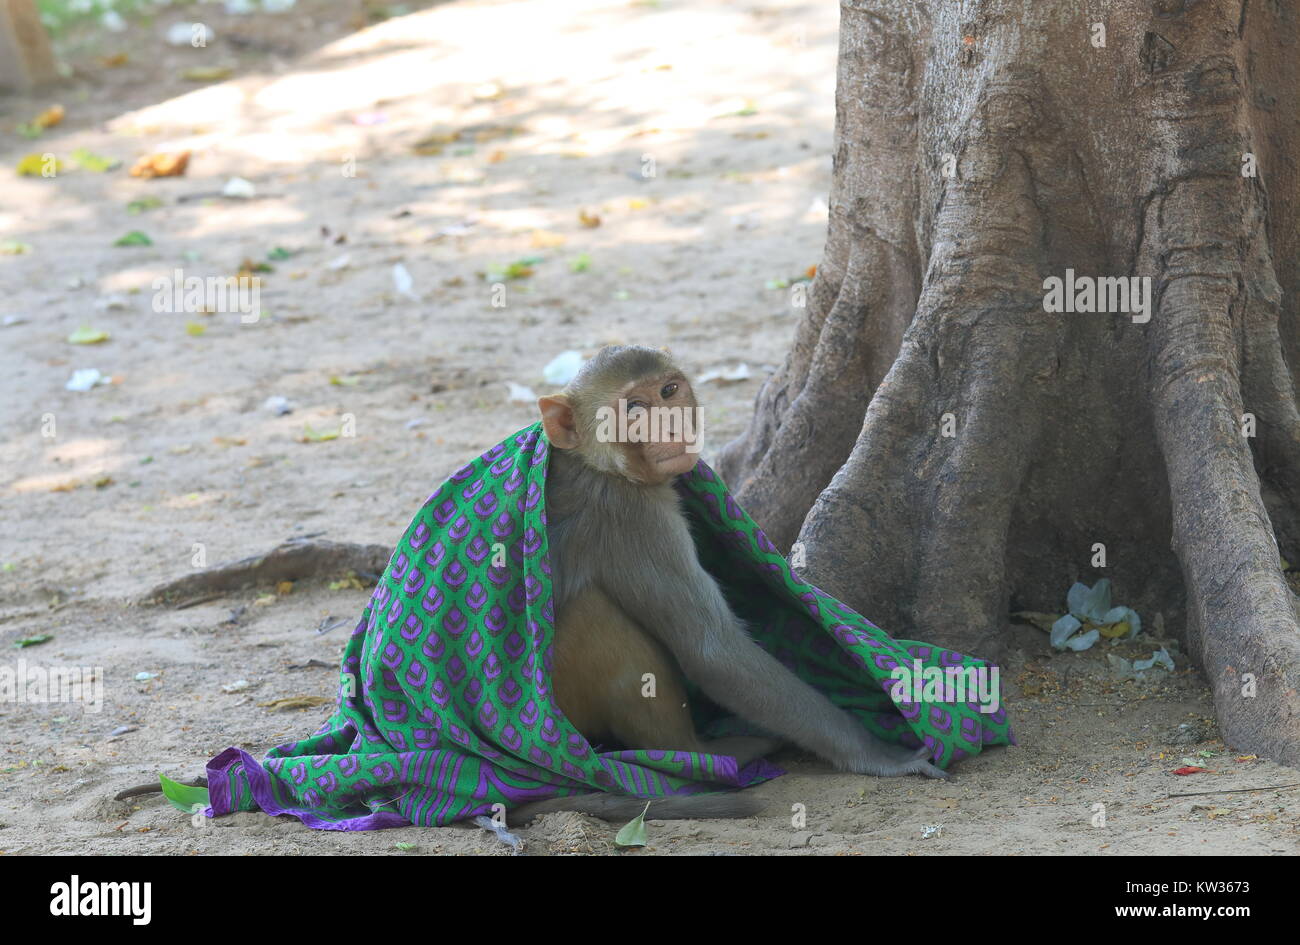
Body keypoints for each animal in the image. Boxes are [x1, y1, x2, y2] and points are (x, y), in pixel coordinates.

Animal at [520, 343, 946, 821]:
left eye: (669, 391)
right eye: (634, 408)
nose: (671, 425)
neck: (597, 465)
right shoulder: (634, 515)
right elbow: (715, 653)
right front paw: (878, 755)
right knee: (597, 613)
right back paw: (704, 754)